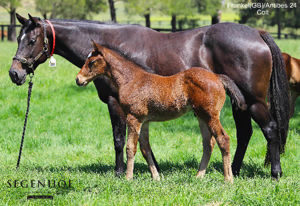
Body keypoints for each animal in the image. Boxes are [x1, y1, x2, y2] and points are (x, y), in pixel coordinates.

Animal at [75, 41, 246, 182]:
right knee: (208, 143)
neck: (131, 80)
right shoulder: (144, 121)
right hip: (201, 116)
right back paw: (199, 176)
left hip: (211, 115)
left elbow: (131, 147)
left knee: (223, 139)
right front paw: (156, 177)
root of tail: (217, 77)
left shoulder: (133, 117)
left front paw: (128, 178)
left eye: (91, 62)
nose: (78, 80)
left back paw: (228, 179)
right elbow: (145, 149)